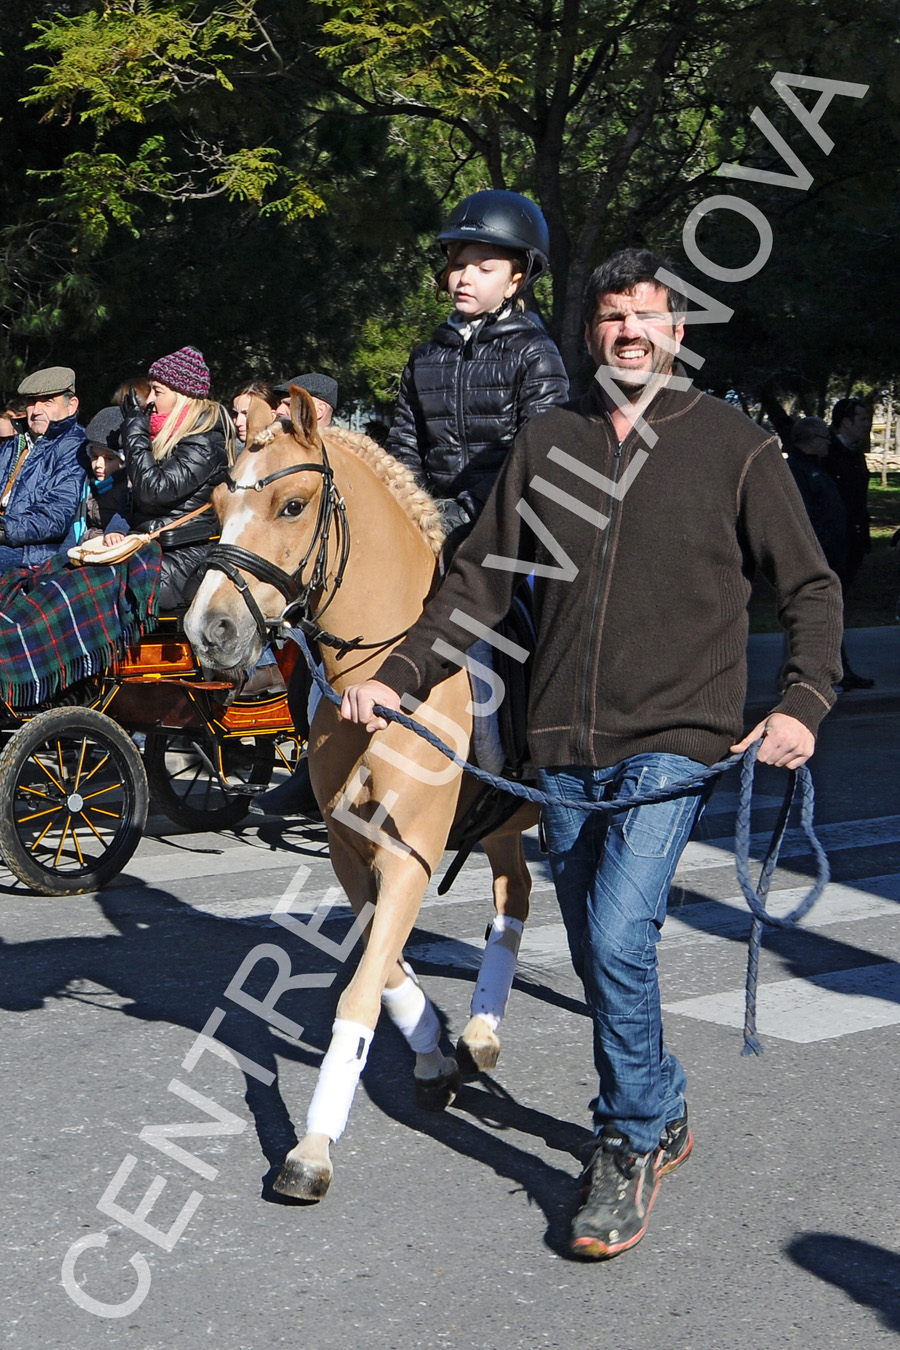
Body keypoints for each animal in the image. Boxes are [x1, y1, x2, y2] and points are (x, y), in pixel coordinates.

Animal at [184, 391, 534, 1204]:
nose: (208, 632)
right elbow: (387, 972)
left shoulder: (411, 855)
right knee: (514, 893)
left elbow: (360, 991)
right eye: (216, 505)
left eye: (292, 505)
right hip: (502, 825)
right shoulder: (352, 854)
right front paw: (434, 1056)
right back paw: (479, 1034)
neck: (386, 684)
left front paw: (312, 1146)